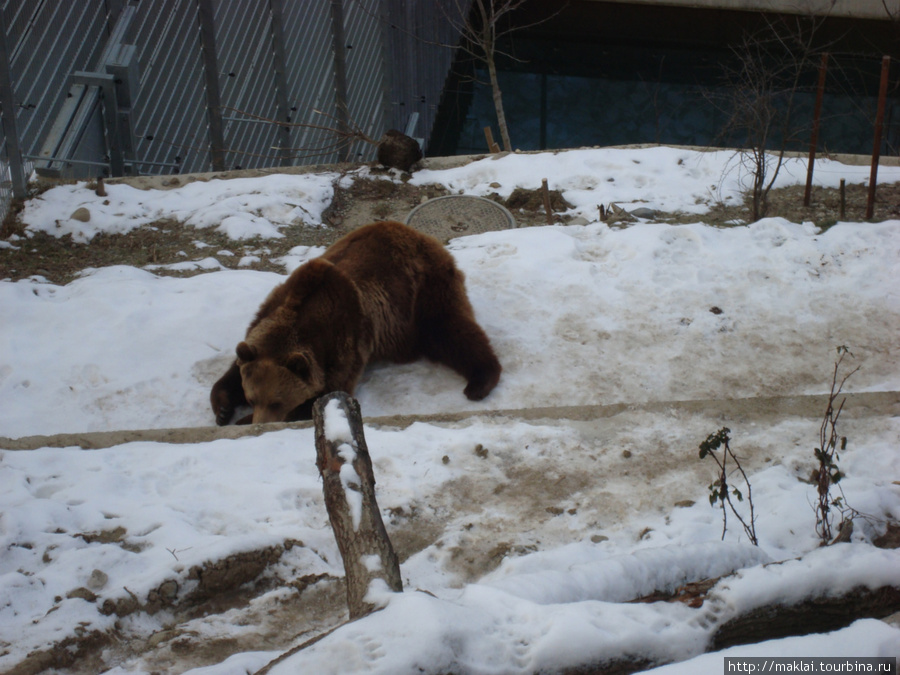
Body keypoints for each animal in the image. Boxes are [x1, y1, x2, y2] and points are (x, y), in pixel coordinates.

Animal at [214, 219, 502, 426]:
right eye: (252, 398)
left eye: (277, 401)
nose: (260, 423)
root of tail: (421, 234)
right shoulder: (264, 324)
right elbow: (233, 372)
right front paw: (223, 408)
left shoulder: (344, 338)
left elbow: (326, 396)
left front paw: (241, 420)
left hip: (423, 295)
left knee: (451, 330)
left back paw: (480, 381)